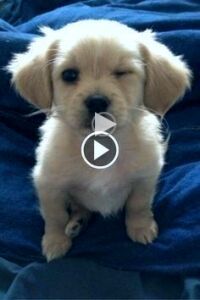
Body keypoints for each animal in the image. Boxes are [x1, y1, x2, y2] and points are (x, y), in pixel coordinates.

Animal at [7, 19, 191, 262]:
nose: (96, 101)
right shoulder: (48, 184)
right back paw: (76, 222)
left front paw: (141, 227)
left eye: (122, 73)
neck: (101, 143)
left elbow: (138, 205)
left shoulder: (145, 177)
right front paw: (55, 241)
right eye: (69, 75)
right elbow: (54, 216)